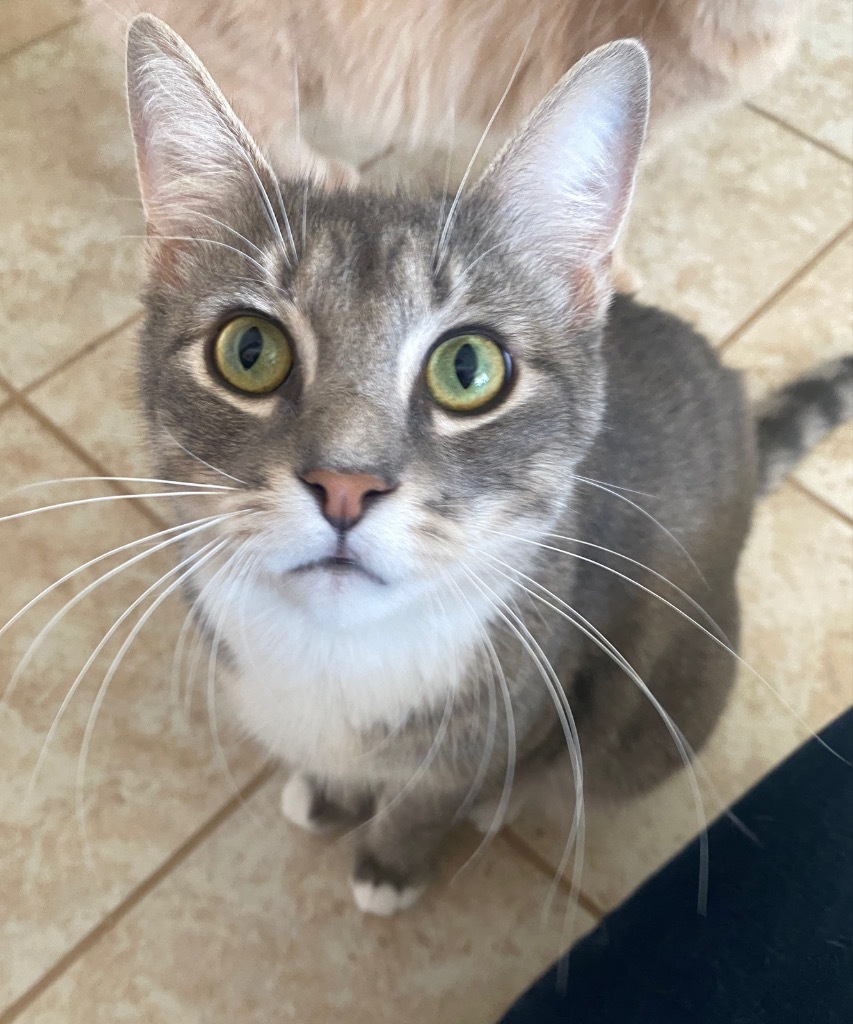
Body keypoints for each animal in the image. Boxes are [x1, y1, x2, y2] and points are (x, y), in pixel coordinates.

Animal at [126, 16, 851, 913]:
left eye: (467, 368)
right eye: (249, 350)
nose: (345, 484)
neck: (336, 661)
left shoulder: (538, 699)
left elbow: (442, 788)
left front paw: (393, 860)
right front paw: (330, 792)